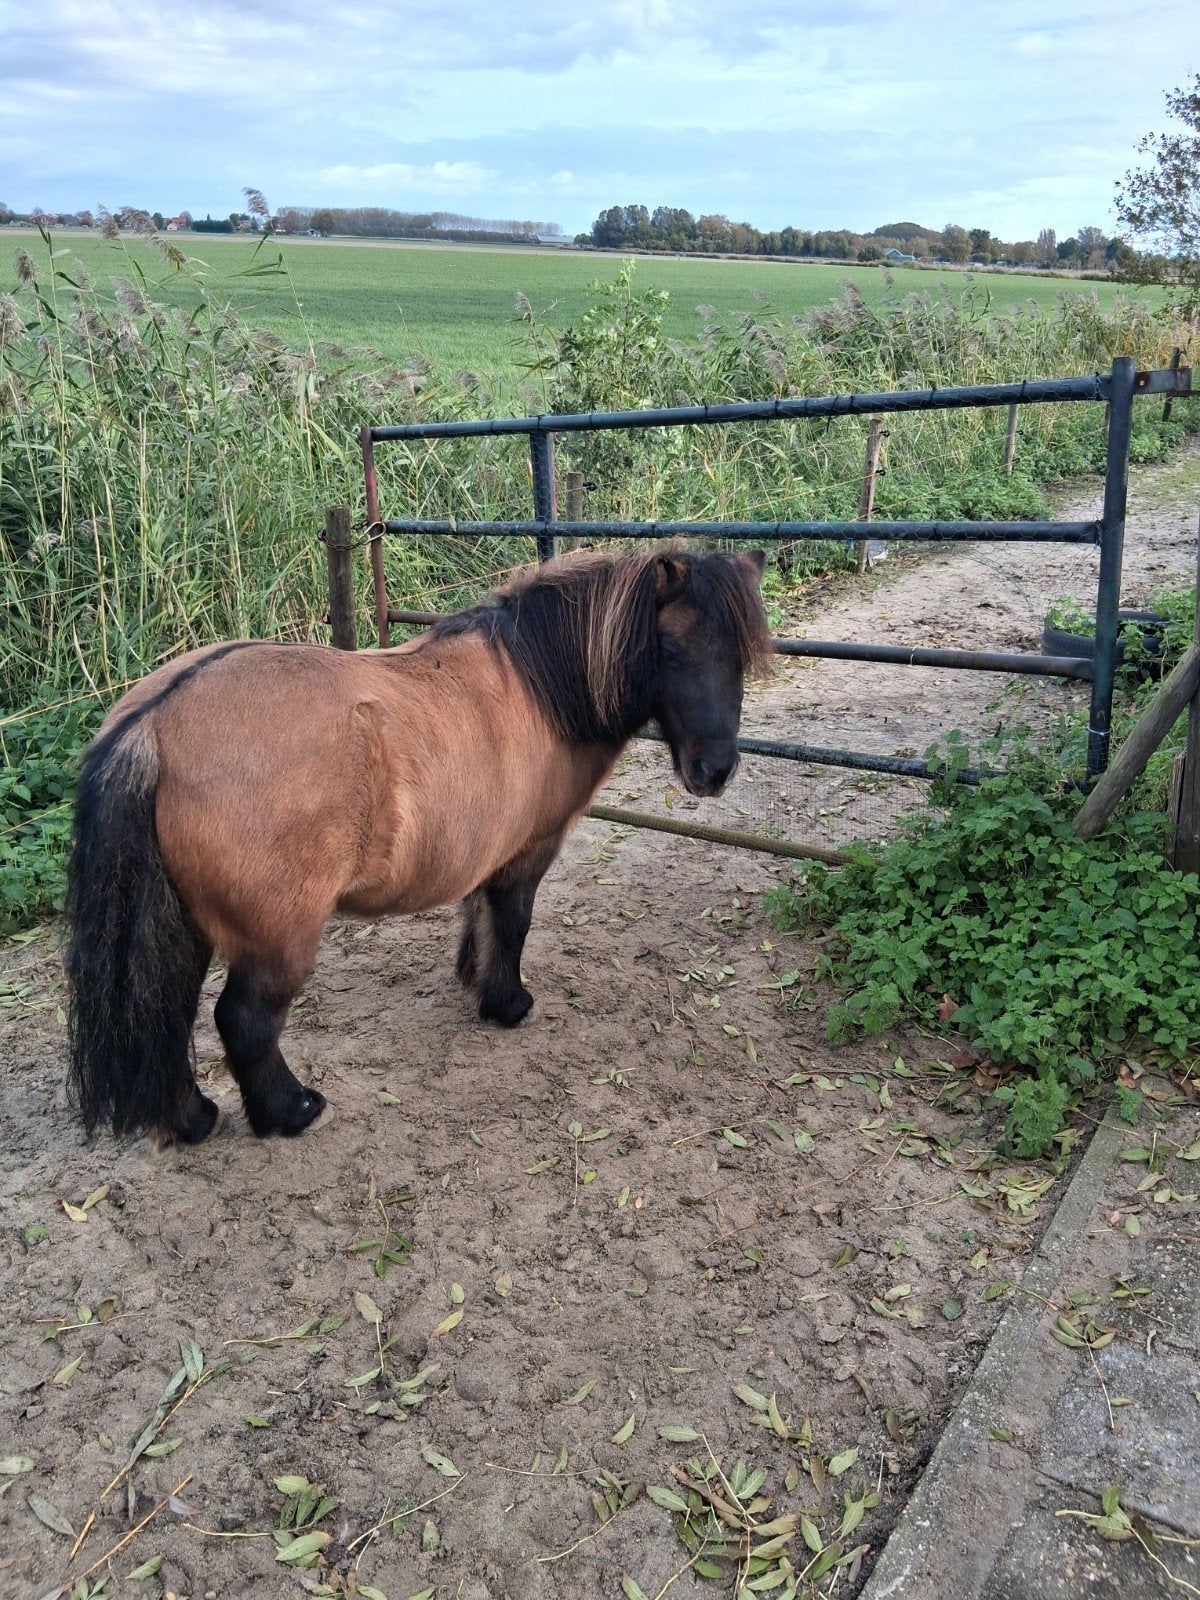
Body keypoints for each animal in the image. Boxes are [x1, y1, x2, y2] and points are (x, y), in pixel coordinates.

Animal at [65, 544, 772, 1147]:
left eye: (741, 653)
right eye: (670, 648)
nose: (714, 770)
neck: (541, 683)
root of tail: (153, 724)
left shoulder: (488, 849)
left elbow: (478, 917)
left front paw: (473, 980)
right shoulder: (526, 855)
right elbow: (511, 923)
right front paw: (507, 1004)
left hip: (184, 929)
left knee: (165, 1015)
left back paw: (192, 1119)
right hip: (275, 938)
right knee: (244, 1021)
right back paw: (290, 1112)